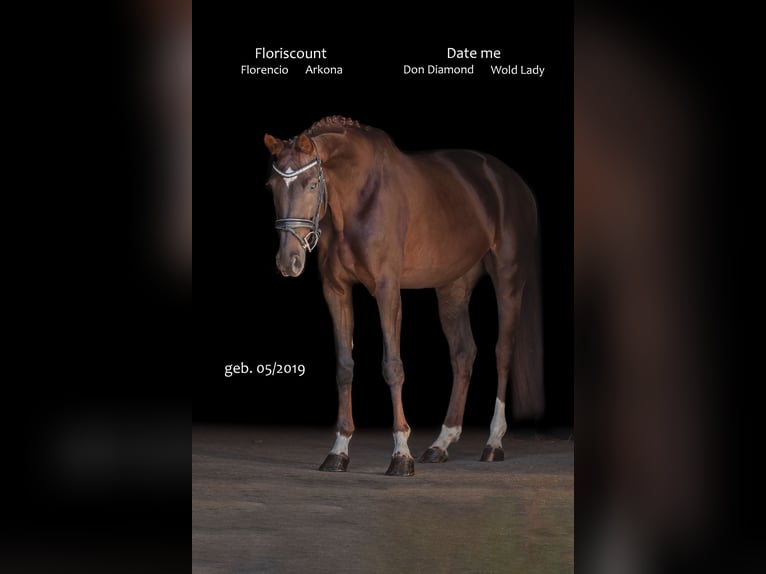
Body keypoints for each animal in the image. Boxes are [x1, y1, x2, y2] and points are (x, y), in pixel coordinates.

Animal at [264, 116, 543, 476]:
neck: (359, 197)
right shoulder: (336, 290)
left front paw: (401, 453)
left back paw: (493, 443)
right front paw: (338, 450)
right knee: (463, 353)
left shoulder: (386, 288)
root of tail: (512, 182)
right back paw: (441, 443)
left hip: (508, 279)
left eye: (312, 184)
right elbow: (344, 366)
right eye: (272, 186)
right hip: (452, 286)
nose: (289, 261)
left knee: (502, 351)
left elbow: (392, 366)